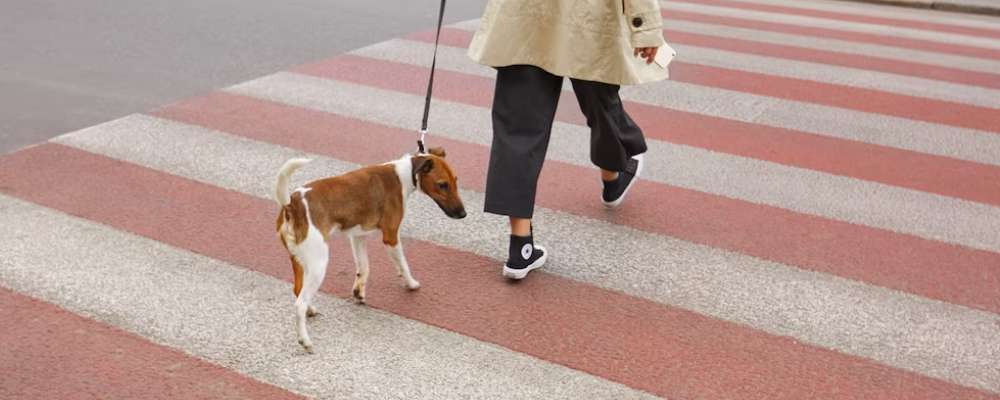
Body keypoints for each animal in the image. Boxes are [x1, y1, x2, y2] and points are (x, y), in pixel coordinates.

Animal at [272, 146, 462, 350]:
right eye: (443, 185)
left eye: (456, 181)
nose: (463, 214)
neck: (403, 174)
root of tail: (291, 205)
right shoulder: (391, 236)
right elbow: (403, 264)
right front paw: (411, 284)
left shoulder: (358, 237)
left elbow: (364, 267)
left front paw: (359, 292)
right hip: (318, 264)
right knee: (299, 303)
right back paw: (305, 341)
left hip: (298, 260)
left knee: (298, 290)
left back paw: (311, 310)